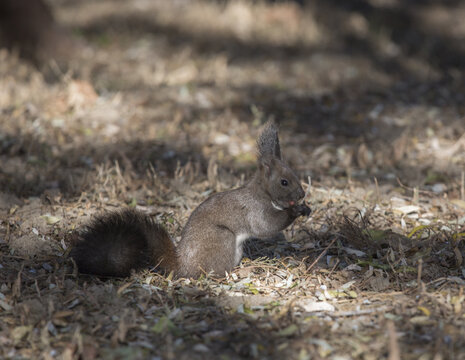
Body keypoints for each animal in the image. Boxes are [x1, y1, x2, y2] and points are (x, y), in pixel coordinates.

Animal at [70, 121, 310, 278]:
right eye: (284, 182)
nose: (302, 195)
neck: (262, 193)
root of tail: (182, 266)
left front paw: (305, 209)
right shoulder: (253, 209)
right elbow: (266, 226)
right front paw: (294, 211)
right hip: (221, 239)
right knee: (212, 273)